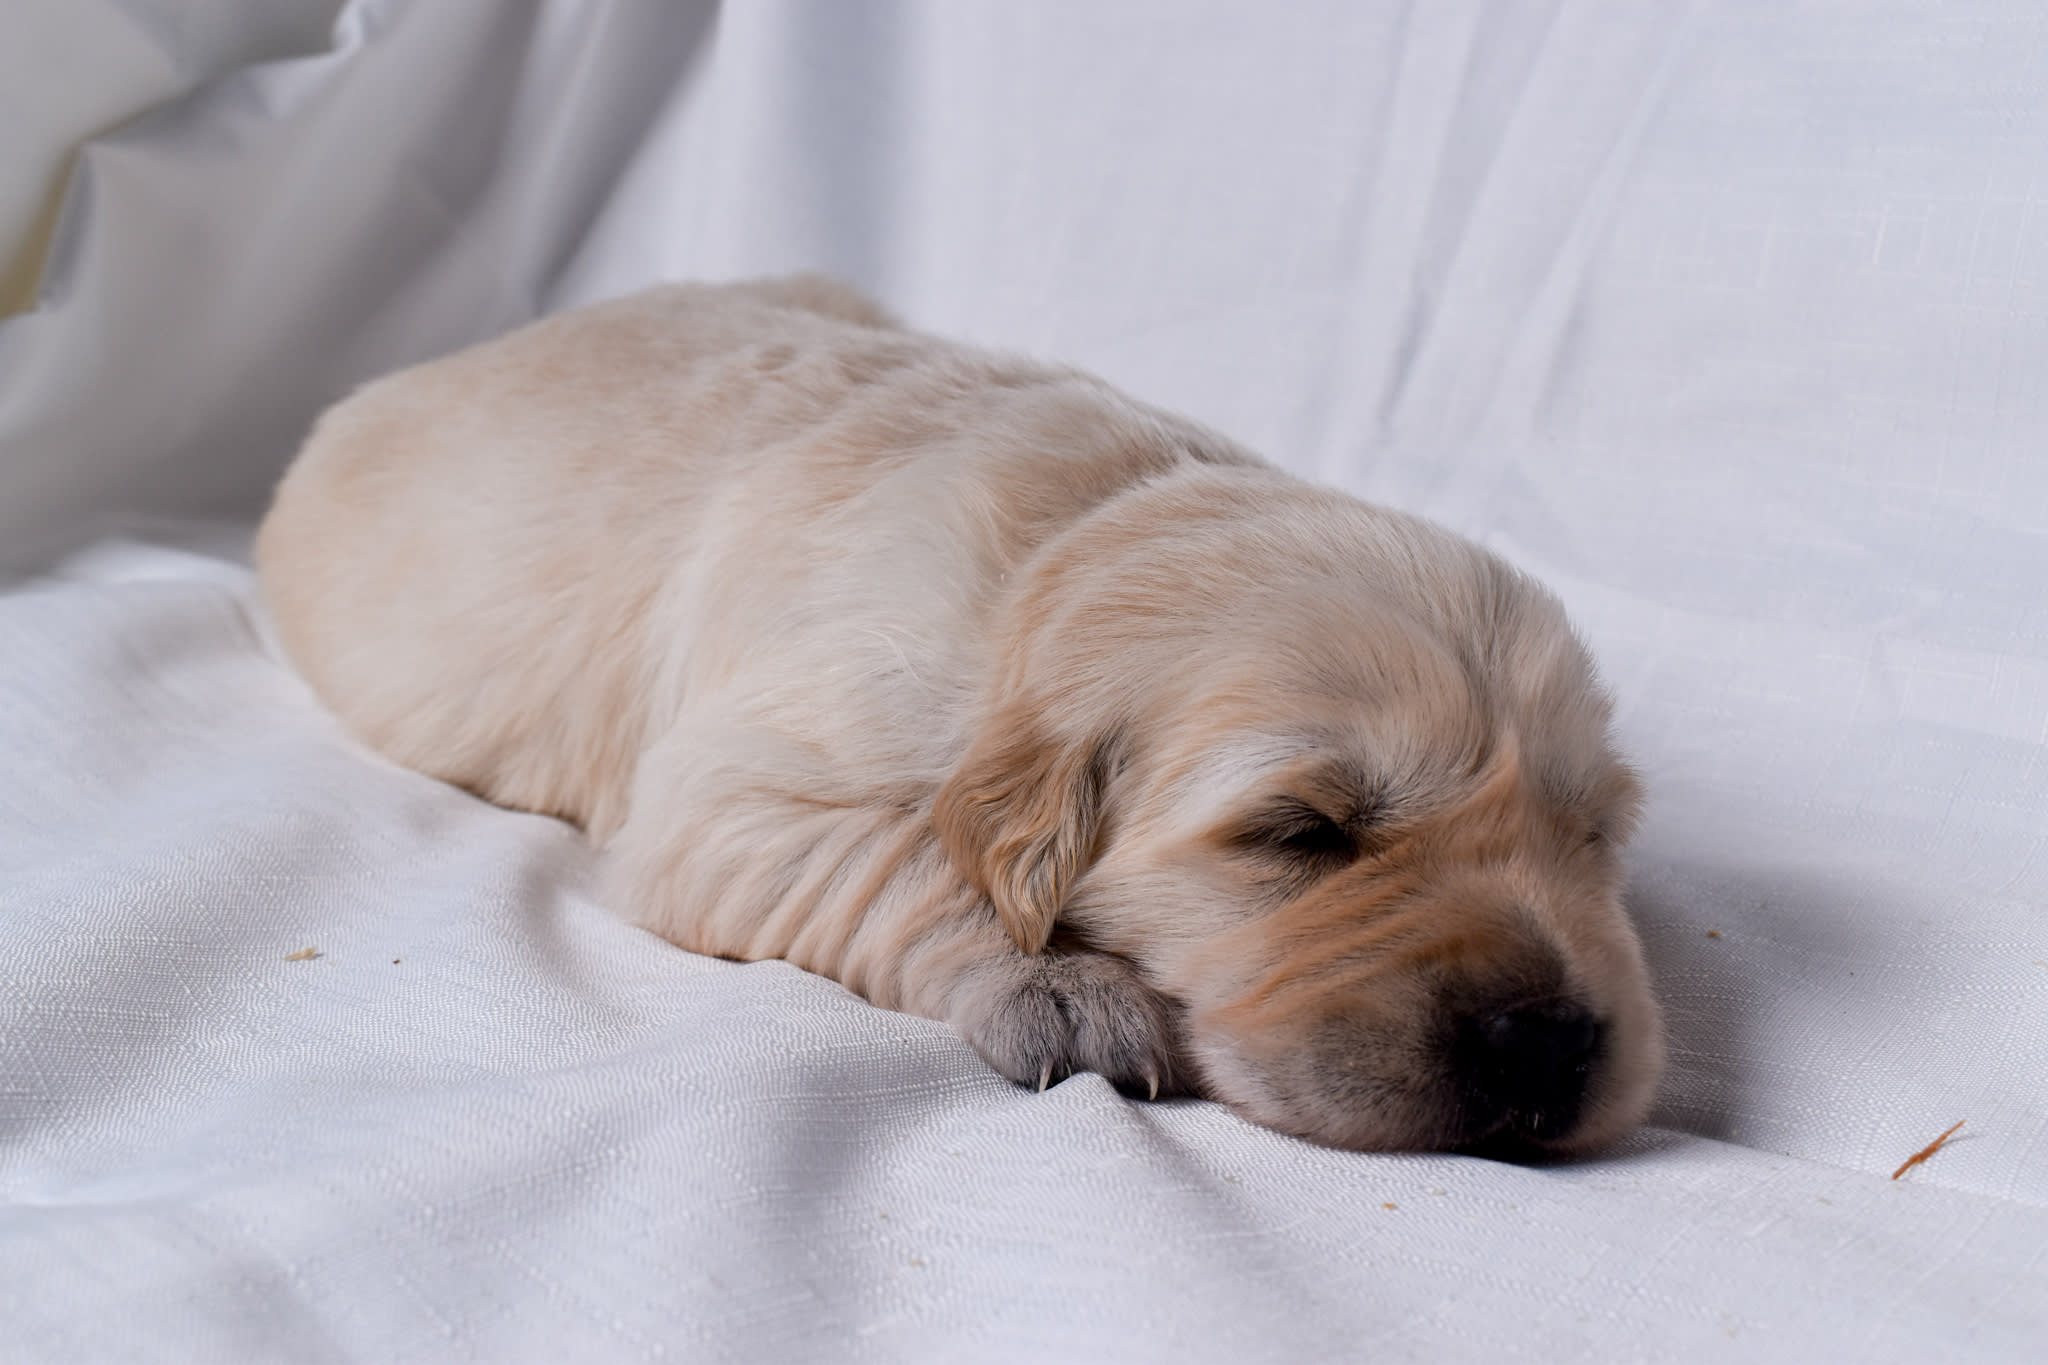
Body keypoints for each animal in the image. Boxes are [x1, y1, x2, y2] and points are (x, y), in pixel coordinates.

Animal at [256, 274, 1662, 1154]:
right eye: (1300, 834)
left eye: (1591, 841)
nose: (1547, 1046)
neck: (1082, 536)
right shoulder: (736, 793)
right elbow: (905, 856)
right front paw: (1064, 988)